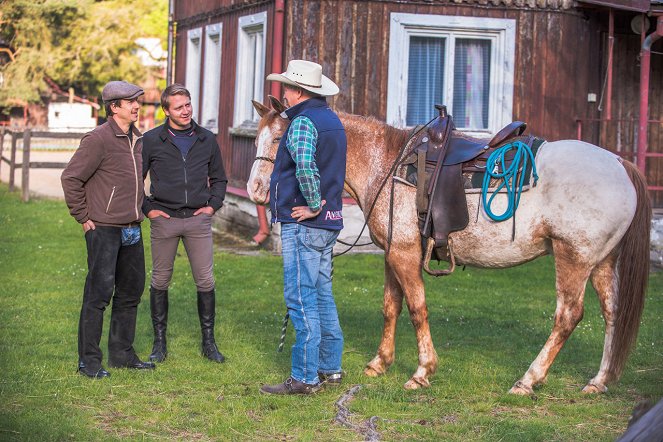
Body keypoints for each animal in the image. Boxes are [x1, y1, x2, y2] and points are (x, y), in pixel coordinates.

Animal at [246, 96, 652, 394]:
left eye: (282, 140)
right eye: (257, 138)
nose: (256, 189)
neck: (384, 163)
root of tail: (620, 164)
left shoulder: (405, 253)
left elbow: (416, 308)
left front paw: (422, 371)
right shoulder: (392, 253)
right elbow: (391, 307)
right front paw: (380, 363)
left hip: (573, 258)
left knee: (568, 316)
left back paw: (528, 380)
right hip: (602, 262)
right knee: (612, 314)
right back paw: (598, 381)